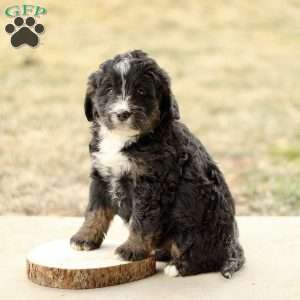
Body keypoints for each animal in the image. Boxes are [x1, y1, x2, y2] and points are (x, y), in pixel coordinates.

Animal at [70, 49, 244, 278]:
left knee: (203, 255)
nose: (122, 113)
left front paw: (130, 250)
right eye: (108, 89)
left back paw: (177, 266)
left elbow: (142, 221)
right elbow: (94, 211)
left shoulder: (152, 184)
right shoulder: (101, 175)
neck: (125, 139)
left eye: (141, 90)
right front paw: (84, 238)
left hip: (197, 225)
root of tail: (233, 247)